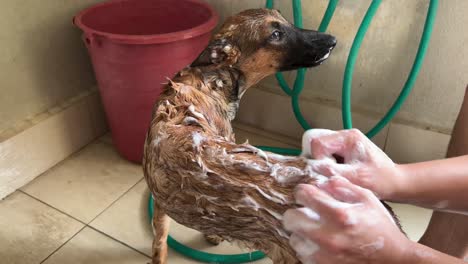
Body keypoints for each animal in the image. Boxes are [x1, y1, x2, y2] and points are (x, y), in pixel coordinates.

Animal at [143, 8, 394, 264]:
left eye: (287, 21)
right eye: (275, 35)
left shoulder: (161, 204)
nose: (332, 41)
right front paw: (213, 235)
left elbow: (159, 243)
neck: (212, 77)